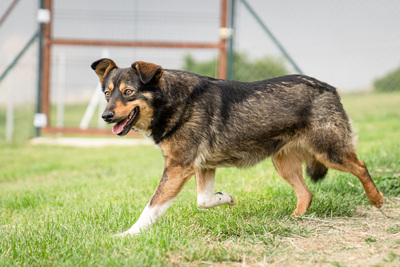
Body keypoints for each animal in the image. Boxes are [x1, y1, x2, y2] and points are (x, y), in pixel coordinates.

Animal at [90, 58, 384, 237]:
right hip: (283, 163)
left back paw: (377, 200)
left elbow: (151, 208)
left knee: (361, 166)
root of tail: (329, 88)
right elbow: (203, 201)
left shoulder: (178, 168)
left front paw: (128, 235)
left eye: (128, 92)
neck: (172, 101)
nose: (105, 116)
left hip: (329, 150)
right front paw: (226, 198)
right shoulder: (202, 167)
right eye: (107, 94)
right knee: (306, 193)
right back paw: (294, 220)